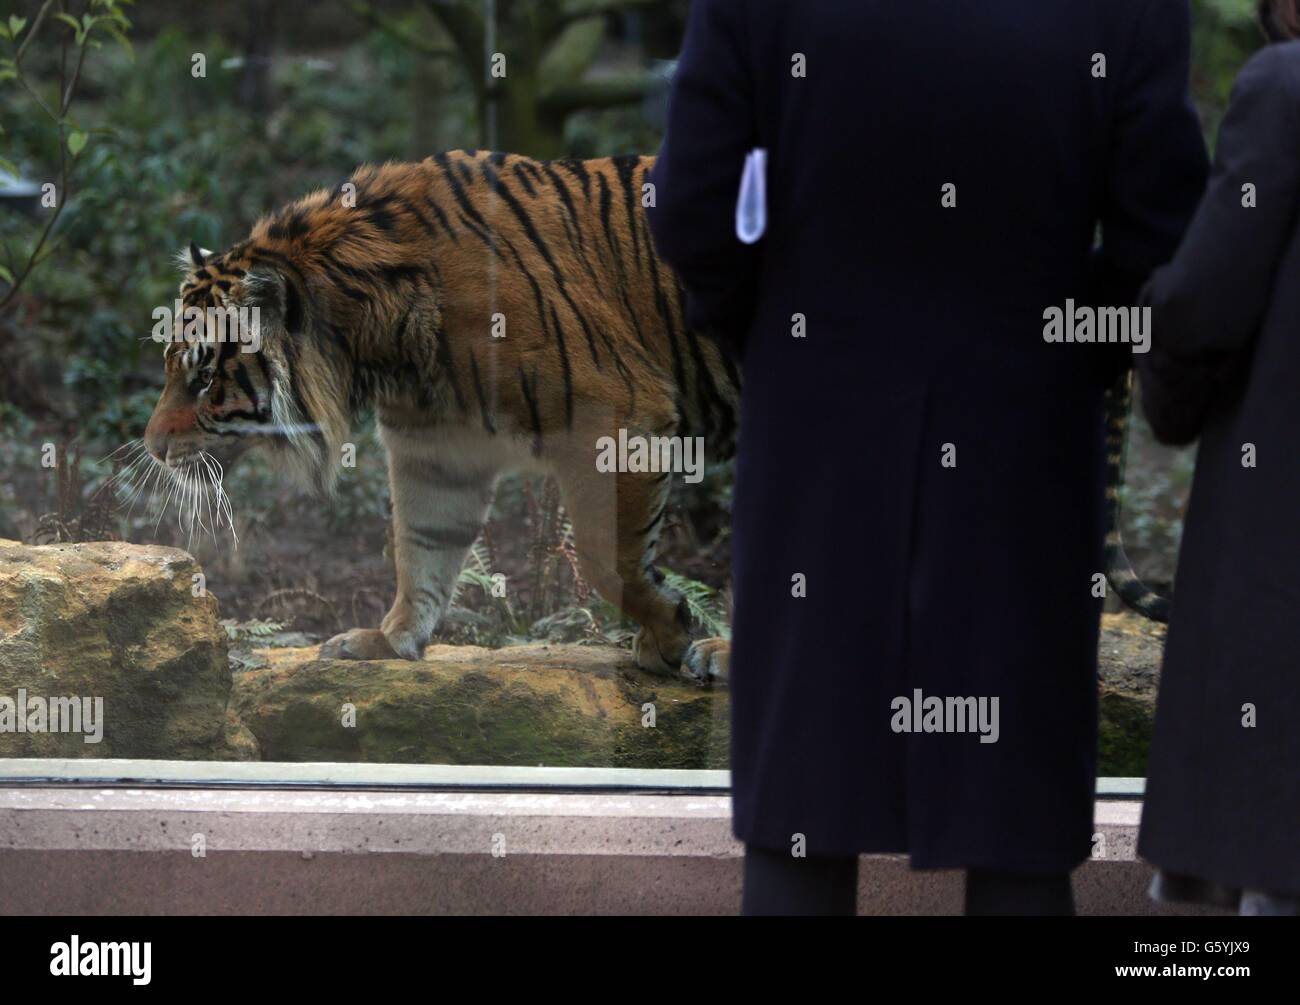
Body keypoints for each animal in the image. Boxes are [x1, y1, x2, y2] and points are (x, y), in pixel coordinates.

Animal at [141, 148, 738, 681]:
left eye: (204, 378)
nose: (152, 448)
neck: (382, 341)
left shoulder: (616, 413)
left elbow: (604, 555)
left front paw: (669, 633)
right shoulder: (435, 447)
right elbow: (422, 545)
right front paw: (388, 640)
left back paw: (717, 654)